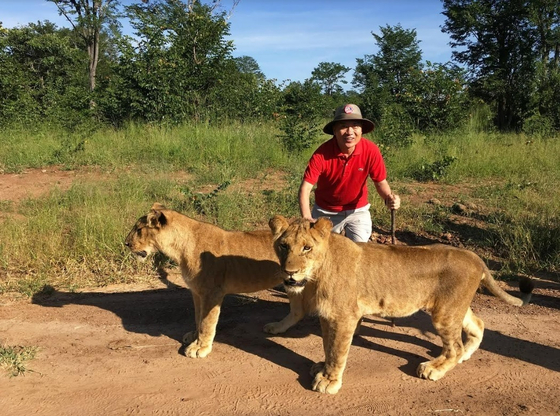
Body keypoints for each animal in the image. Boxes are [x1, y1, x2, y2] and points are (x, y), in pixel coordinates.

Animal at [124, 204, 306, 358]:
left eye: (139, 229)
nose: (126, 243)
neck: (180, 248)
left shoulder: (212, 293)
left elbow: (206, 322)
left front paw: (200, 348)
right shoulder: (197, 292)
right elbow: (198, 317)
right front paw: (194, 337)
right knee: (298, 311)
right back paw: (276, 327)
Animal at [270, 216, 532, 394]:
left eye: (307, 247)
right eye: (284, 246)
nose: (289, 272)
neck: (317, 274)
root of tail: (474, 256)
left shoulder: (344, 317)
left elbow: (337, 350)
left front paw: (329, 381)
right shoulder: (328, 316)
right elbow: (328, 346)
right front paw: (322, 368)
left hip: (444, 313)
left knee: (454, 346)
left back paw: (434, 368)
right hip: (454, 307)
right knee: (478, 324)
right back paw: (464, 356)